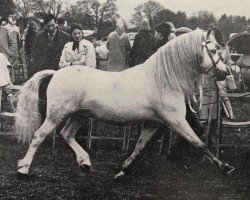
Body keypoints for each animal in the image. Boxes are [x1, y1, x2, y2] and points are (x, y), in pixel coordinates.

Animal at [15, 29, 234, 178]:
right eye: (213, 49)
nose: (225, 72)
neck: (163, 79)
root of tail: (56, 73)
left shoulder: (153, 123)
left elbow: (139, 147)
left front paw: (122, 170)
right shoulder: (176, 121)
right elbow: (199, 142)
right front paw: (224, 167)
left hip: (80, 115)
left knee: (67, 134)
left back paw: (85, 162)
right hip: (56, 114)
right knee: (39, 136)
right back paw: (24, 168)